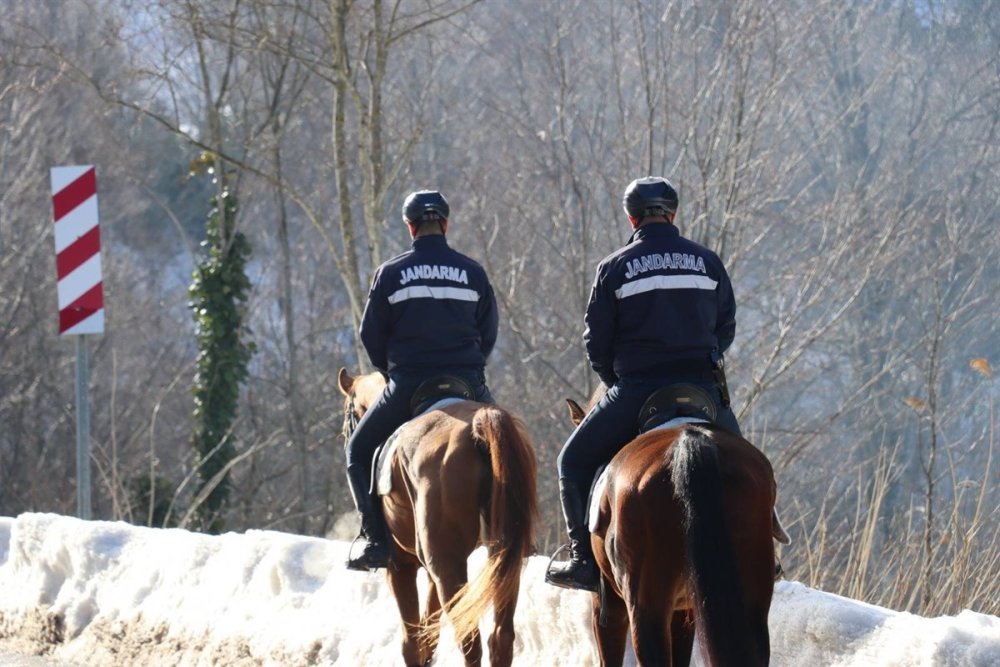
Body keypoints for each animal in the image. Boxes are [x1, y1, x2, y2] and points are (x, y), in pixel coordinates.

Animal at [338, 370, 540, 667]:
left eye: (348, 417)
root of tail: (479, 424)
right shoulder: (430, 572)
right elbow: (428, 636)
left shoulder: (401, 567)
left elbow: (411, 642)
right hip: (503, 556)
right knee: (500, 638)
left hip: (446, 565)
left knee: (469, 640)